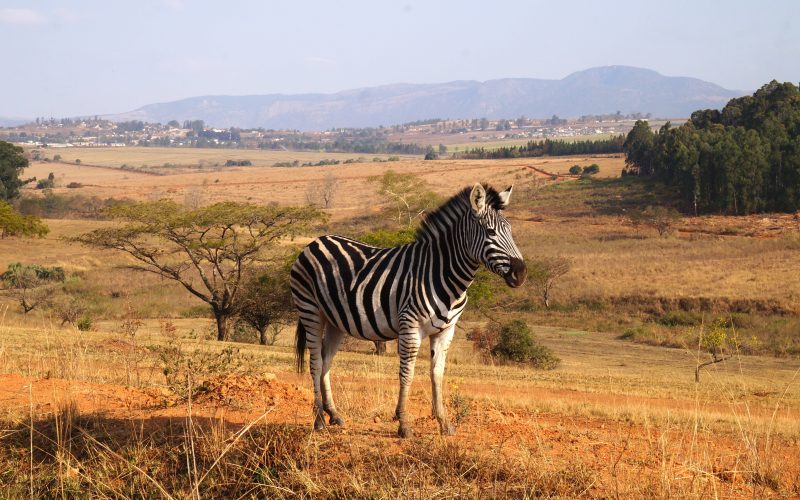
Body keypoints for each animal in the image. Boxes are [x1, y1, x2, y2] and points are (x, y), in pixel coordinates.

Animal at [290, 184, 528, 438]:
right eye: (491, 232)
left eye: (510, 231)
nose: (521, 273)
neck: (443, 273)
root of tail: (315, 241)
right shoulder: (410, 328)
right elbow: (407, 374)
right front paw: (403, 423)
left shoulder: (446, 331)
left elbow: (437, 374)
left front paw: (443, 423)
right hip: (311, 310)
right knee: (315, 362)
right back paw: (318, 420)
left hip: (336, 321)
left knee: (326, 361)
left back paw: (333, 414)